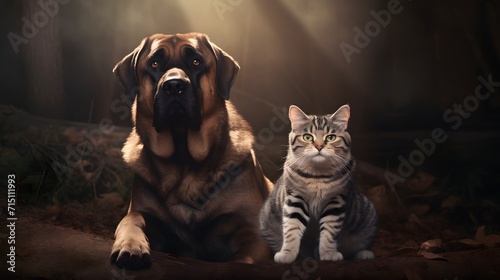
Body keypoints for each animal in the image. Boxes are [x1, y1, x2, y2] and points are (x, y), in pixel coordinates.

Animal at [110, 32, 274, 270]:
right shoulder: (146, 214)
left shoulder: (252, 231)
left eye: (196, 62)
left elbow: (241, 259)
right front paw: (130, 245)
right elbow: (131, 219)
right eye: (154, 64)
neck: (184, 160)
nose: (174, 85)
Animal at [260, 104, 376, 264]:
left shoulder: (336, 201)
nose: (319, 147)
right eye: (307, 137)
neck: (317, 176)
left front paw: (328, 253)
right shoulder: (295, 199)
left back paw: (364, 254)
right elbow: (291, 228)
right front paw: (287, 253)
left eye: (331, 137)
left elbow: (329, 230)